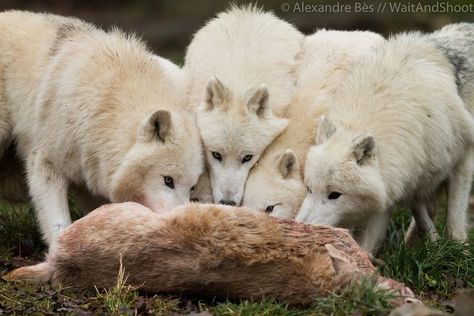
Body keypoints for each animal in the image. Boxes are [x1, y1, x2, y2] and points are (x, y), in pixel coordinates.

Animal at [296, 32, 474, 254]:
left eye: (335, 195)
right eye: (309, 188)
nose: (302, 226)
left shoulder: (461, 160)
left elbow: (454, 219)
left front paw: (458, 251)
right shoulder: (406, 178)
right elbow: (420, 216)